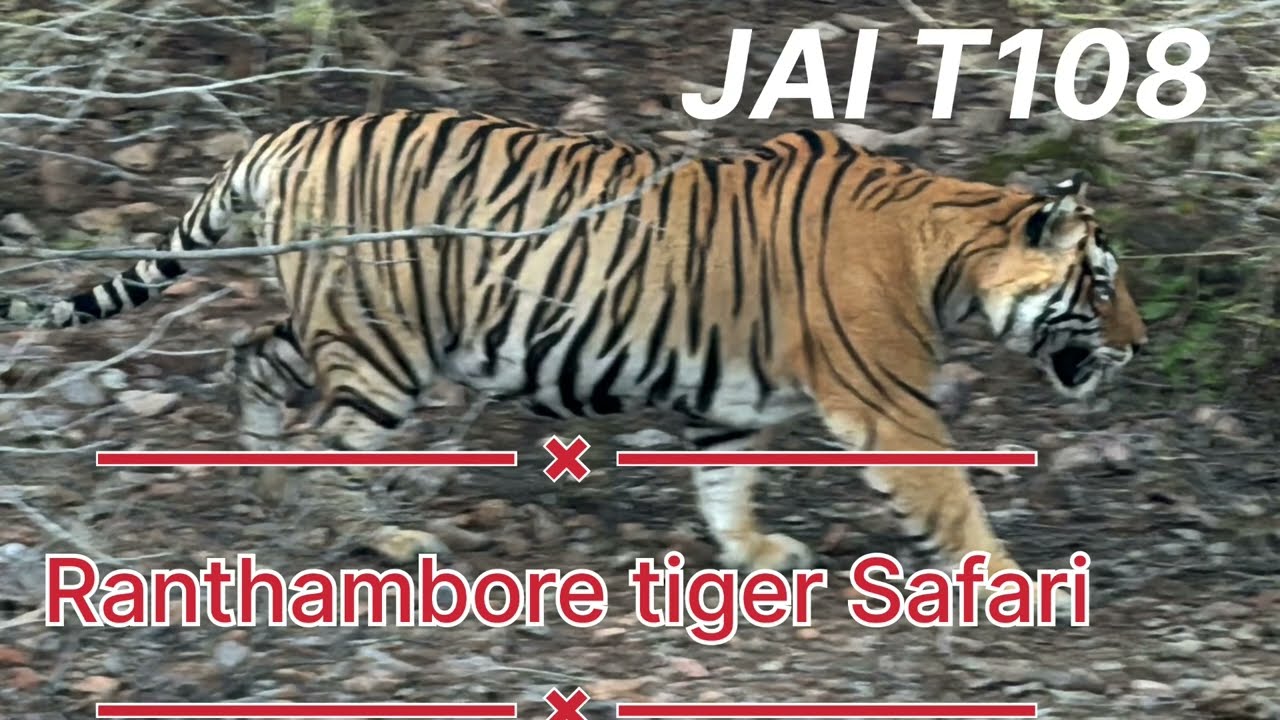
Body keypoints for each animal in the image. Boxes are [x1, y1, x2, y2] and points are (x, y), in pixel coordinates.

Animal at [2, 108, 1147, 615]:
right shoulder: (889, 403)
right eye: (1099, 283)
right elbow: (951, 495)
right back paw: (377, 538)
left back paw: (270, 483)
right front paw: (1016, 584)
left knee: (254, 360)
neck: (945, 249)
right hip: (381, 348)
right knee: (329, 445)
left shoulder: (727, 401)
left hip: (338, 321)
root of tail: (280, 137)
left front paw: (753, 555)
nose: (1136, 346)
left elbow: (725, 480)